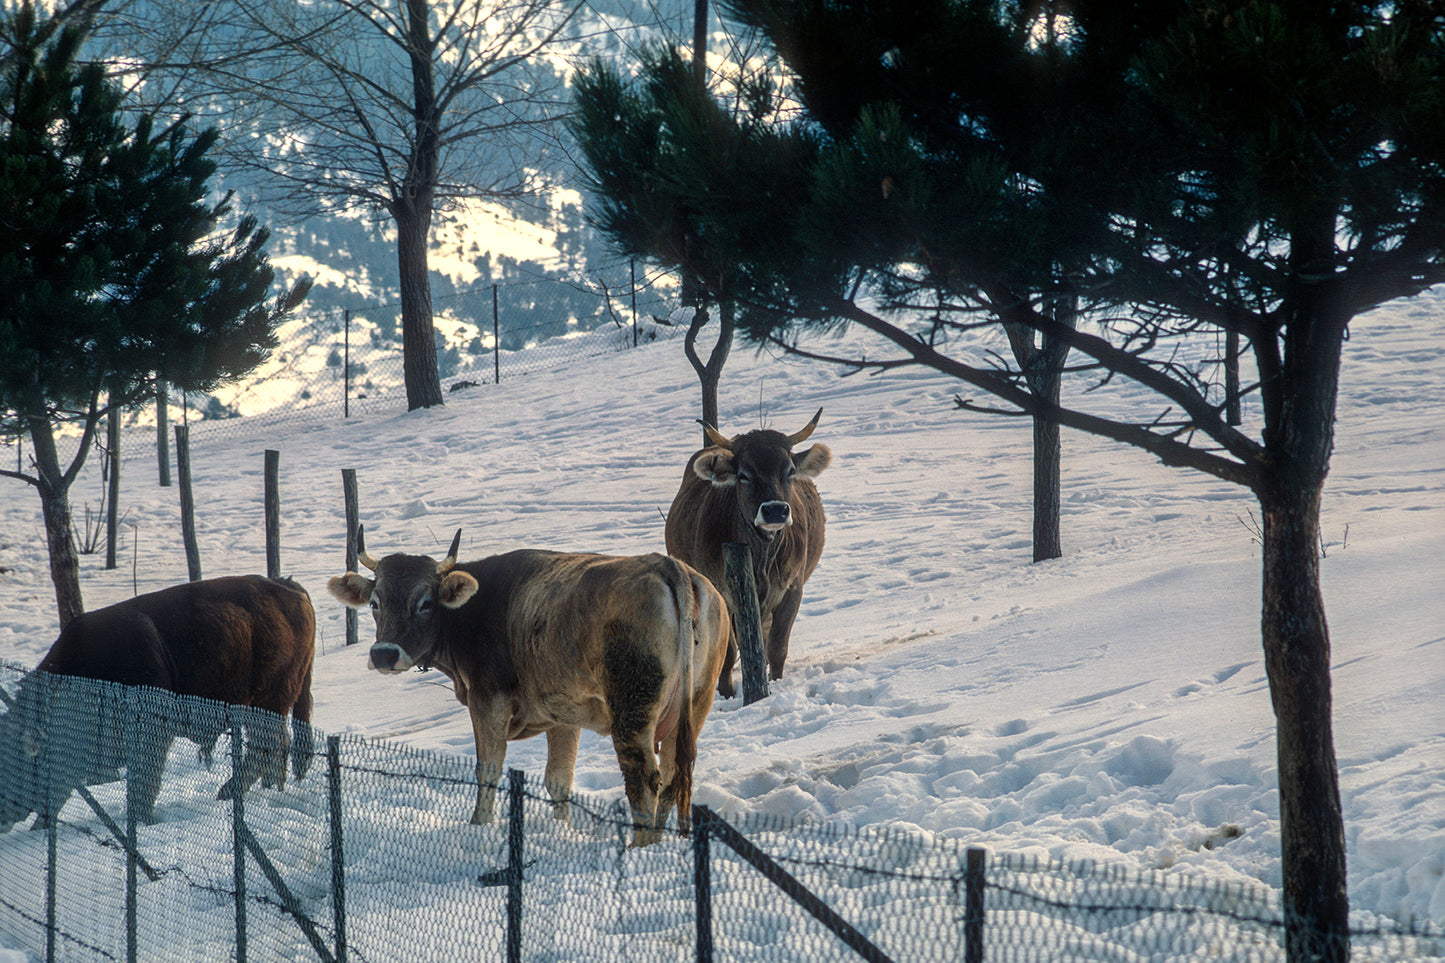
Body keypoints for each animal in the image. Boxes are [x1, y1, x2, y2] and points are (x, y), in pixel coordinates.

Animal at [0, 576, 316, 833]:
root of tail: (288, 587)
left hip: (267, 701)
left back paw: (227, 792)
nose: (2, 818)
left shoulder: (151, 731)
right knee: (280, 745)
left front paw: (142, 820)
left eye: (14, 760)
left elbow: (144, 781)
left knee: (269, 744)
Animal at [327, 527, 729, 845]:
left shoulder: (487, 700)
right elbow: (559, 780)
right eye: (375, 602)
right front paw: (562, 831)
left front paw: (479, 827)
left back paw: (640, 848)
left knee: (645, 779)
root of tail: (668, 566)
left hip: (633, 707)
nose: (383, 653)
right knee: (674, 776)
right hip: (697, 701)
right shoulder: (564, 716)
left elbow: (488, 771)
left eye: (424, 603)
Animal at [665, 408, 831, 698]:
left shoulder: (793, 587)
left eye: (789, 471)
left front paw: (775, 683)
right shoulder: (722, 593)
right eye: (744, 474)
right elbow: (729, 651)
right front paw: (727, 693)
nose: (775, 510)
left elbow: (777, 646)